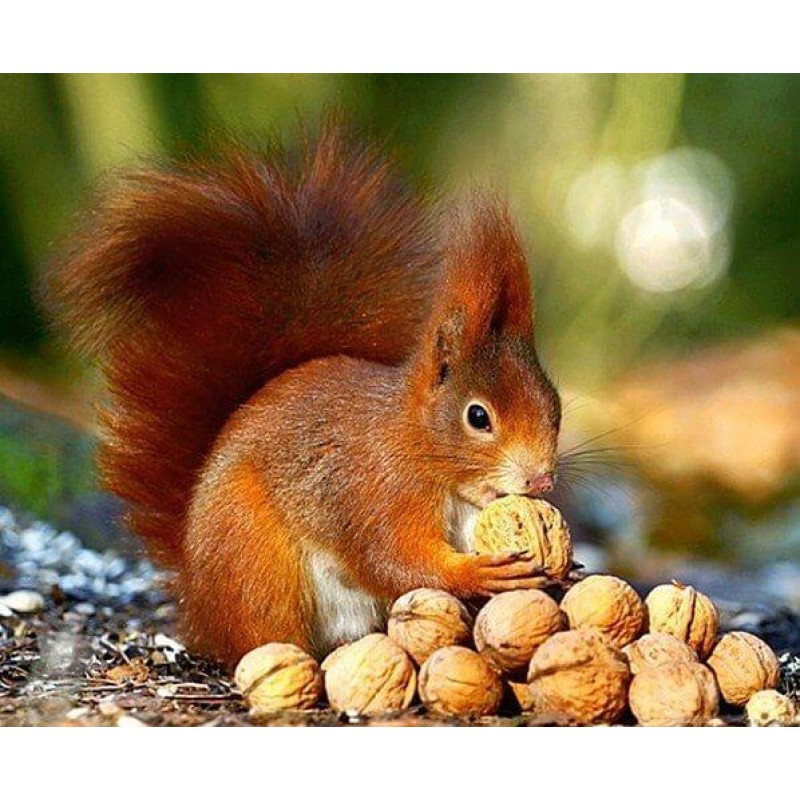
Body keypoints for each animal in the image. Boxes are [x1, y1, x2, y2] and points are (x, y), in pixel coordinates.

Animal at [45, 124, 562, 666]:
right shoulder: (374, 491)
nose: (542, 480)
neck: (416, 445)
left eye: (556, 409)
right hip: (253, 558)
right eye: (478, 417)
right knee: (265, 632)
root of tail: (197, 600)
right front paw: (476, 573)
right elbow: (393, 558)